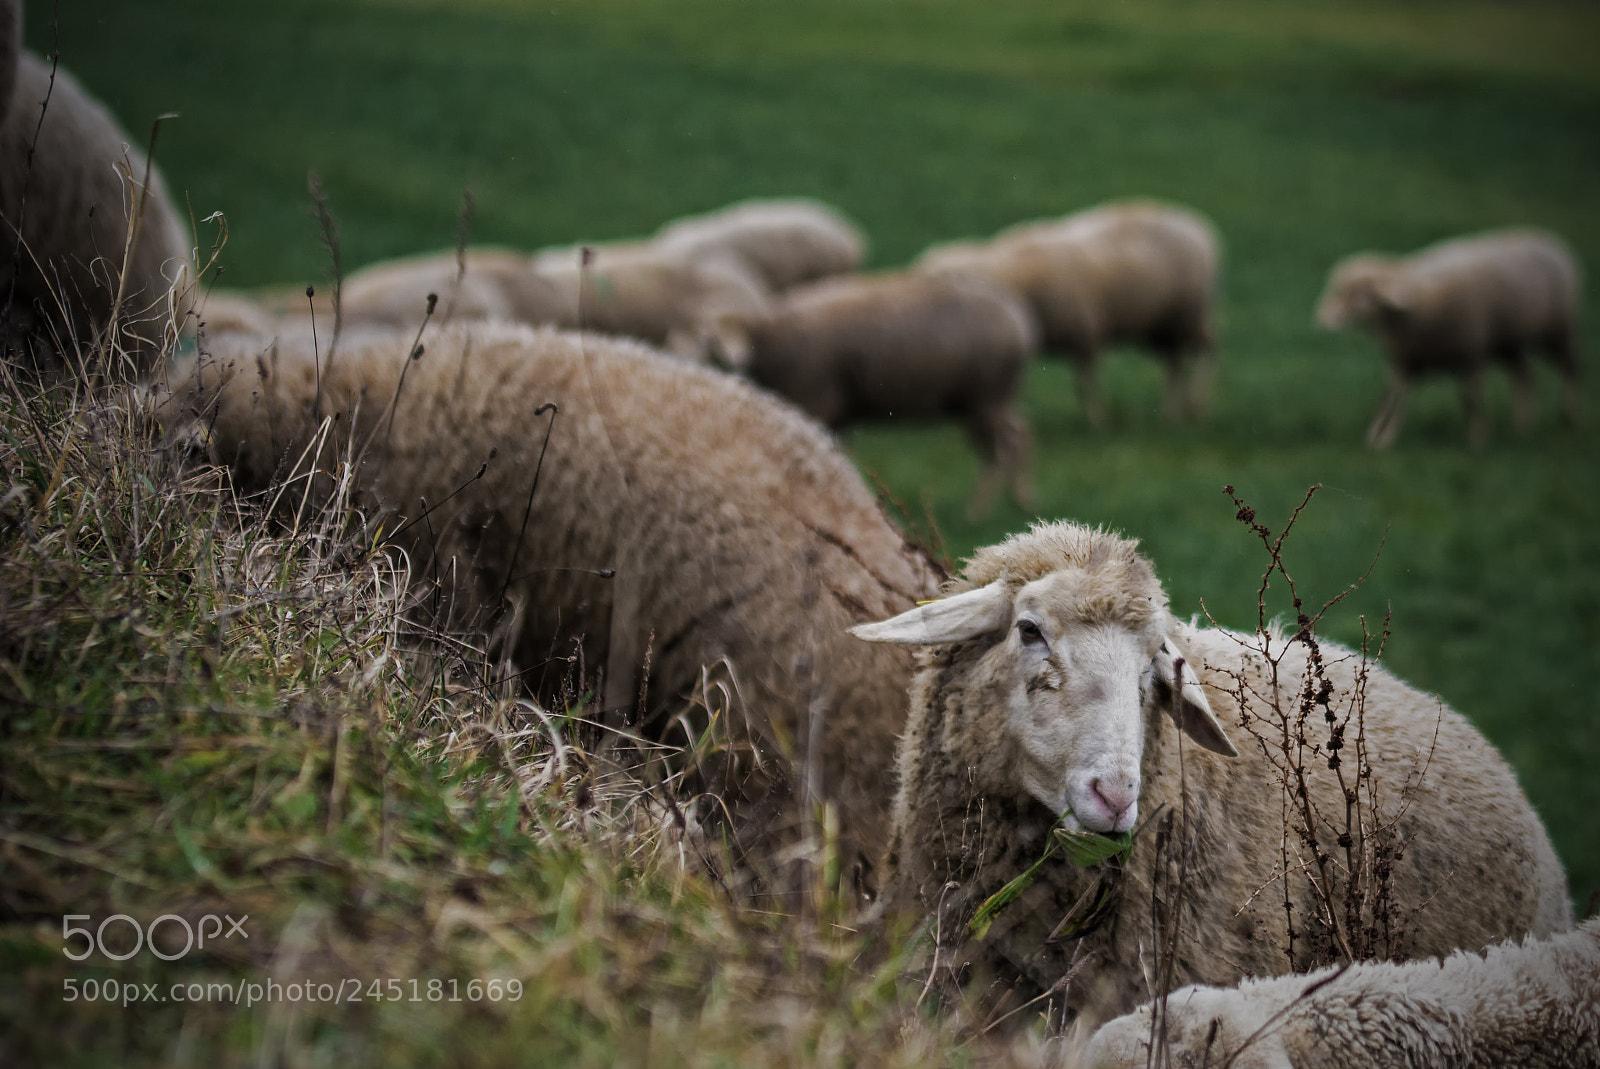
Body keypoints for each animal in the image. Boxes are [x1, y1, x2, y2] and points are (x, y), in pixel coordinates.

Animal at [690, 270, 1039, 517]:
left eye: (711, 339)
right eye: (699, 336)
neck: (769, 339)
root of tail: (1018, 316)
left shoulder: (817, 402)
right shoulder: (836, 414)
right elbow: (835, 457)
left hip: (988, 393)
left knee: (1004, 446)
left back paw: (979, 510)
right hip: (982, 398)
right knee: (1018, 434)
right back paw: (1021, 498)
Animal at [914, 200, 1221, 427]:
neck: (1015, 276)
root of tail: (1197, 225)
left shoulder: (1084, 334)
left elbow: (1085, 384)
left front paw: (1096, 420)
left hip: (1190, 313)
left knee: (1206, 348)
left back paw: (1196, 403)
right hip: (1163, 324)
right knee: (1174, 364)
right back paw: (1173, 411)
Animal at [1314, 229, 1583, 448]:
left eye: (1357, 294)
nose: (1322, 319)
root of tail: (1550, 239)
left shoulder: (1470, 354)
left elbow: (1471, 399)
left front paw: (1477, 439)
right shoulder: (1408, 359)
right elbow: (1393, 396)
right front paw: (1380, 437)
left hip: (1557, 330)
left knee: (1570, 366)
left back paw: (1569, 416)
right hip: (1509, 343)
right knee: (1524, 376)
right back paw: (1523, 426)